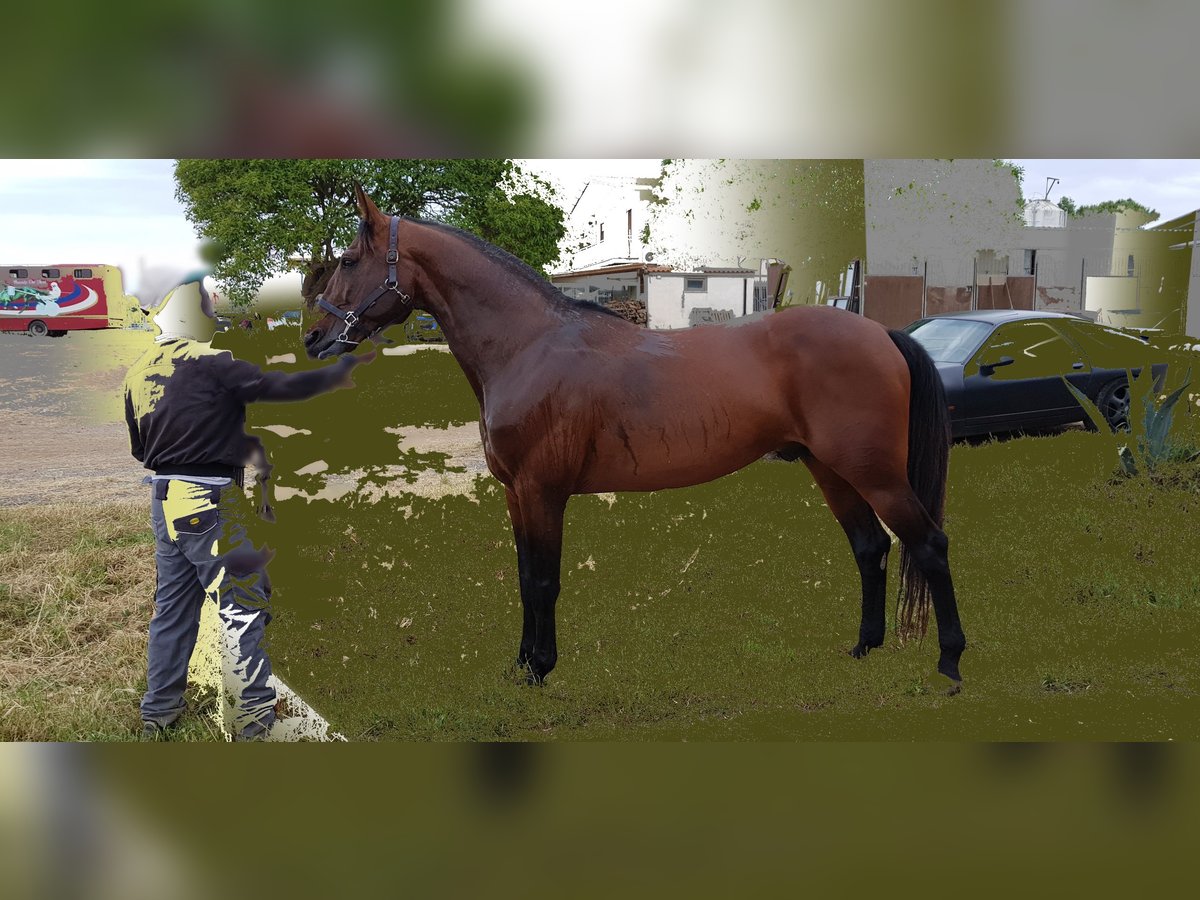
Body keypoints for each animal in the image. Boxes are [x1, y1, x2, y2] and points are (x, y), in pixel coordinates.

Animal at [302, 184, 964, 691]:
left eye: (349, 262)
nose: (313, 339)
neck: (528, 345)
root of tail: (881, 334)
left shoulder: (542, 491)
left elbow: (543, 580)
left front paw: (540, 670)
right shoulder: (517, 494)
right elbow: (523, 578)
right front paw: (521, 663)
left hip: (875, 472)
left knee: (928, 545)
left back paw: (951, 662)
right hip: (830, 469)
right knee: (870, 549)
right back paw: (864, 648)